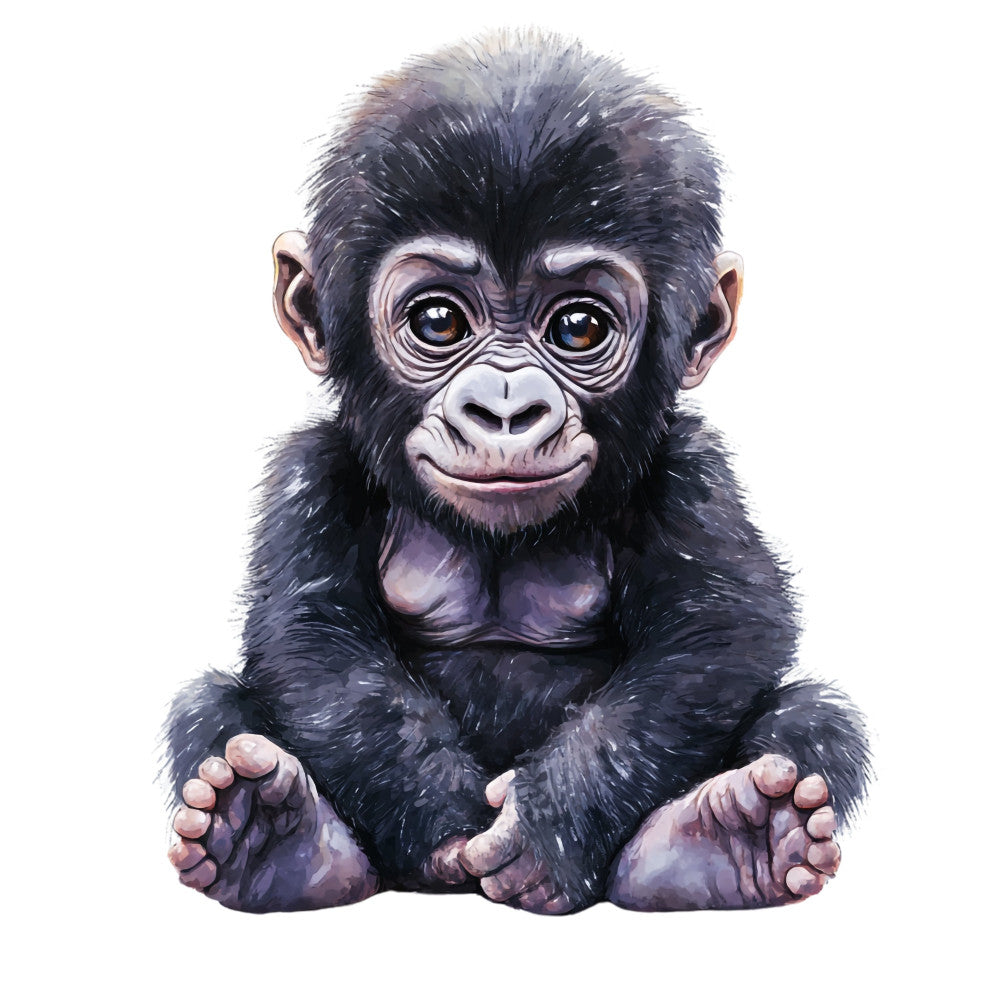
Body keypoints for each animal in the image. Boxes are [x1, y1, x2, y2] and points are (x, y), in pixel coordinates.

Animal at [165, 33, 869, 914]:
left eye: (578, 327)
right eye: (438, 320)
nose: (505, 409)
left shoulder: (695, 472)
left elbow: (715, 628)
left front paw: (547, 827)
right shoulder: (309, 473)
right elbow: (315, 635)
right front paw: (443, 822)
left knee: (815, 718)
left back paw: (724, 838)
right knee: (209, 707)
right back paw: (275, 837)